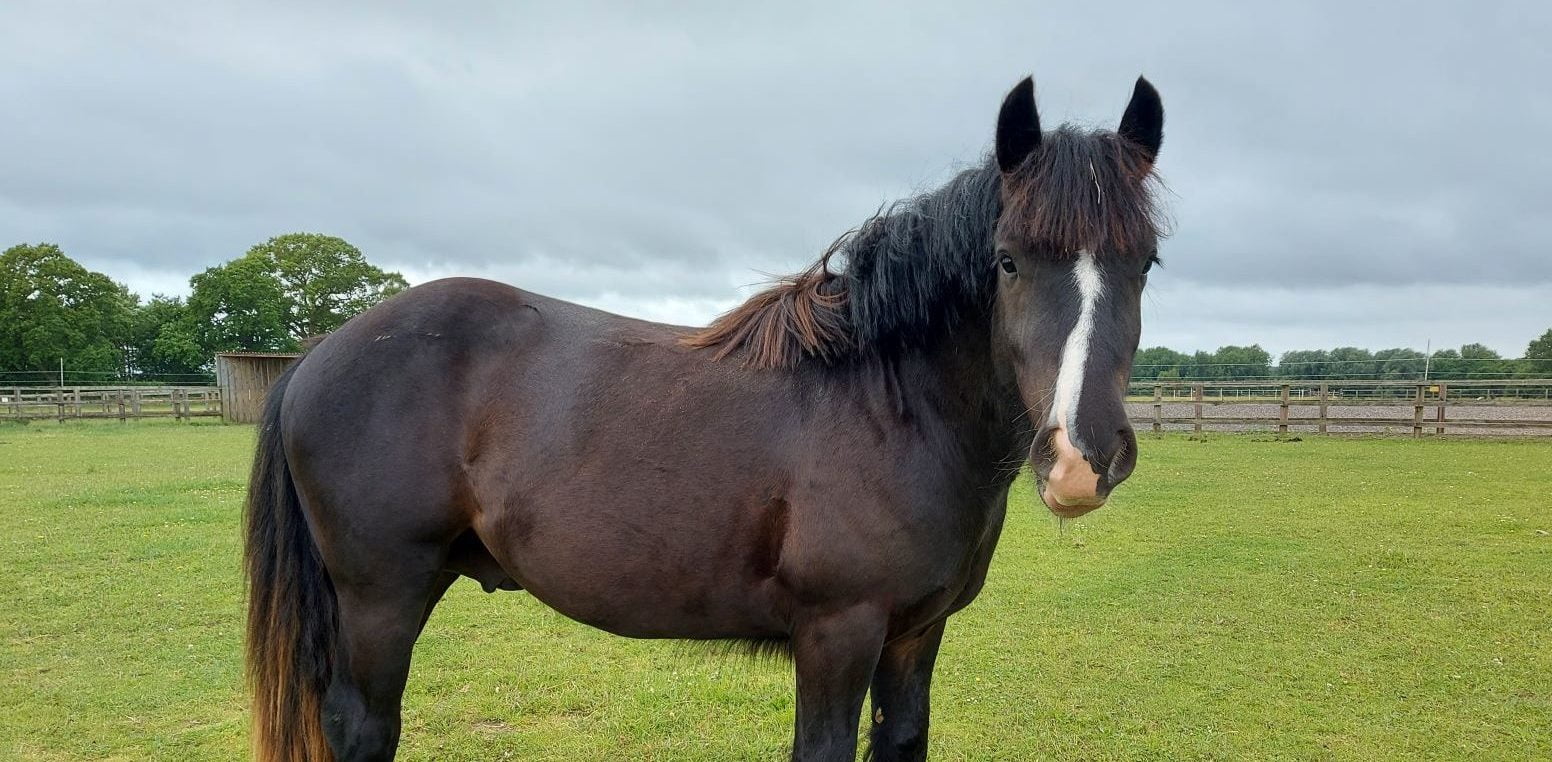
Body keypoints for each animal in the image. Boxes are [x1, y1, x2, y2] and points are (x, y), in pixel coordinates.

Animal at [245, 74, 1167, 760]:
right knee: (362, 728)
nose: (1082, 456)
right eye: (1007, 260)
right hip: (381, 597)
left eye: (1147, 262)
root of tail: (320, 356)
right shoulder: (838, 633)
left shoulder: (917, 634)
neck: (891, 405)